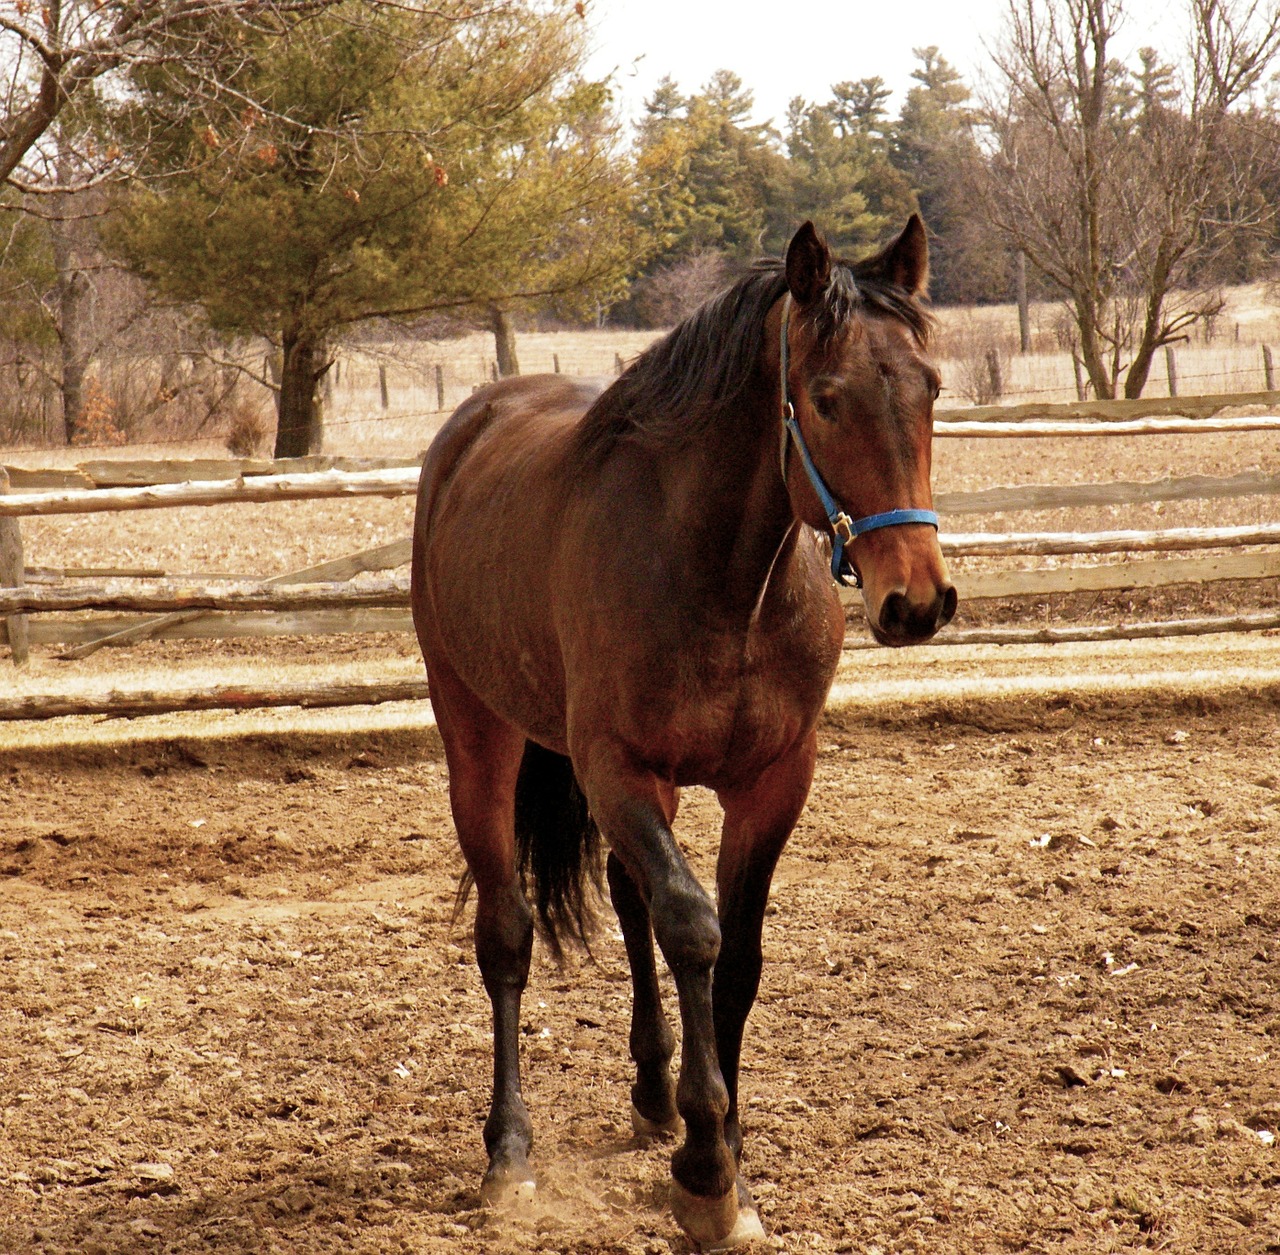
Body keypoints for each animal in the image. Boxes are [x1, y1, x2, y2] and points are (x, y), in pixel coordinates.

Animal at [414, 220, 957, 1249]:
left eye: (933, 387)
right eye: (825, 398)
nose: (917, 601)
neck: (721, 580)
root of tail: (475, 422)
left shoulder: (774, 780)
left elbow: (735, 954)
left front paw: (727, 1152)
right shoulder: (619, 771)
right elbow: (694, 930)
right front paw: (706, 1173)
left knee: (629, 901)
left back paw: (652, 1092)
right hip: (479, 734)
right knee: (508, 935)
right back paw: (511, 1151)